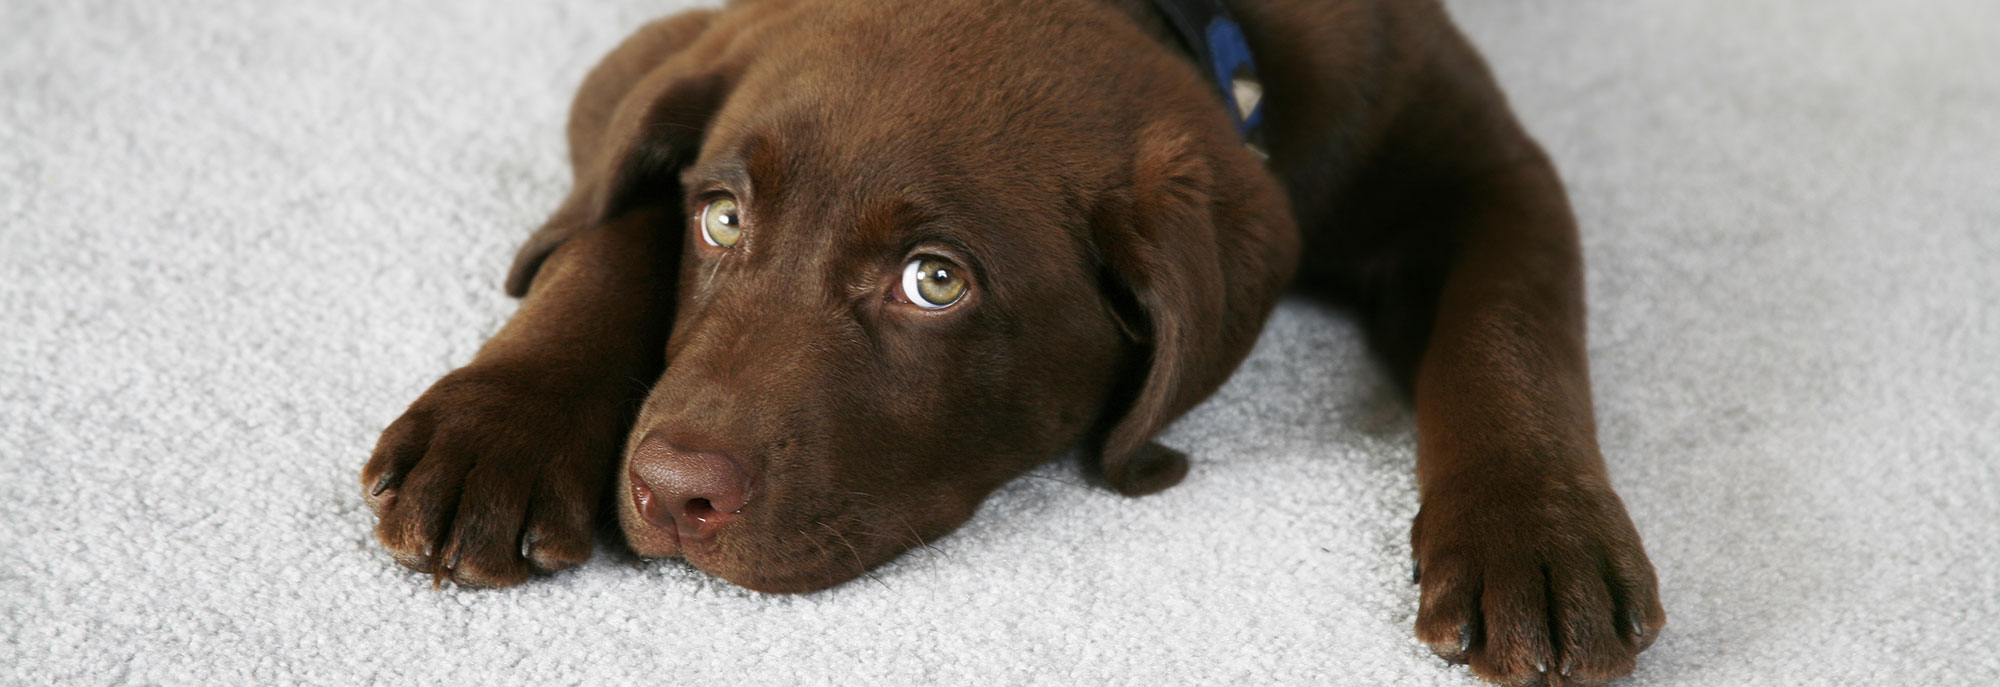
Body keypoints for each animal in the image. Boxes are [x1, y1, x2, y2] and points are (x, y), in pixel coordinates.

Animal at [360, 0, 1656, 683]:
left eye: (935, 282)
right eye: (722, 218)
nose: (674, 494)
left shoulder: (1480, 162)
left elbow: (1509, 330)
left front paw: (1536, 541)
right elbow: (608, 216)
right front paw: (498, 426)